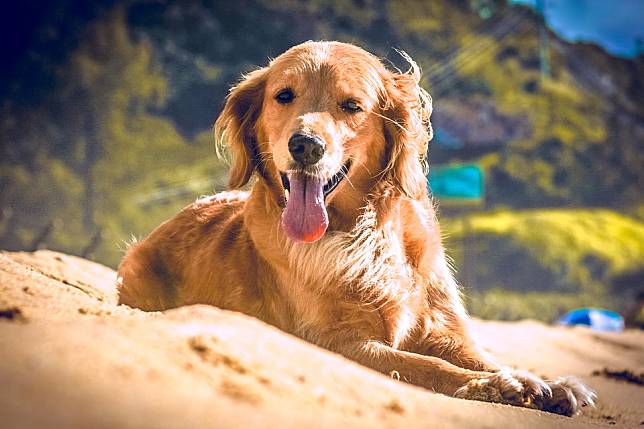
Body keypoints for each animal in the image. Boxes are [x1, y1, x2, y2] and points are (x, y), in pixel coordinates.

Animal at [117, 41, 592, 414]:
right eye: (283, 96)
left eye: (352, 106)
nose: (305, 145)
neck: (365, 233)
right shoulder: (339, 343)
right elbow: (428, 366)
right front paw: (492, 386)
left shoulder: (443, 329)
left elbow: (481, 355)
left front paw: (542, 381)